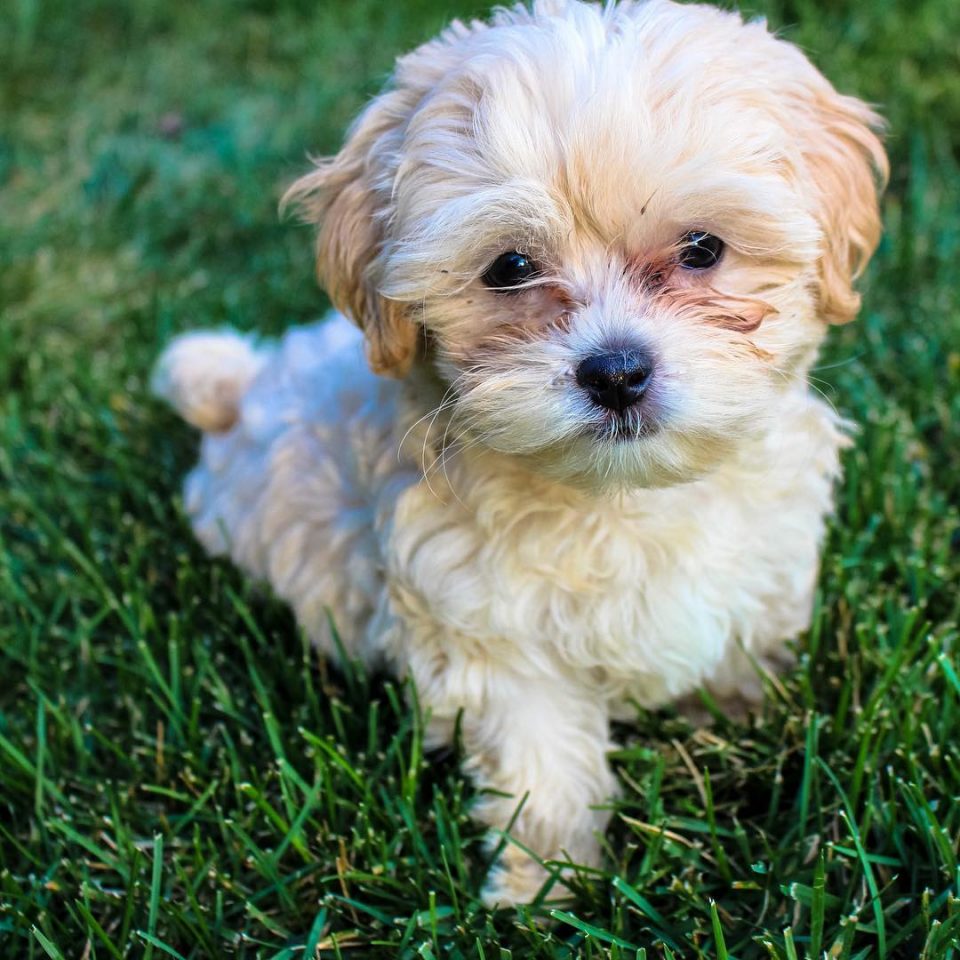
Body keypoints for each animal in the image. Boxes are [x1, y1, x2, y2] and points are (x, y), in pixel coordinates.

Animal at [152, 0, 884, 908]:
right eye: (510, 266)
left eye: (703, 249)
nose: (616, 372)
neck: (625, 499)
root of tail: (238, 389)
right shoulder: (486, 626)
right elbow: (540, 755)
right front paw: (548, 881)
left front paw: (739, 706)